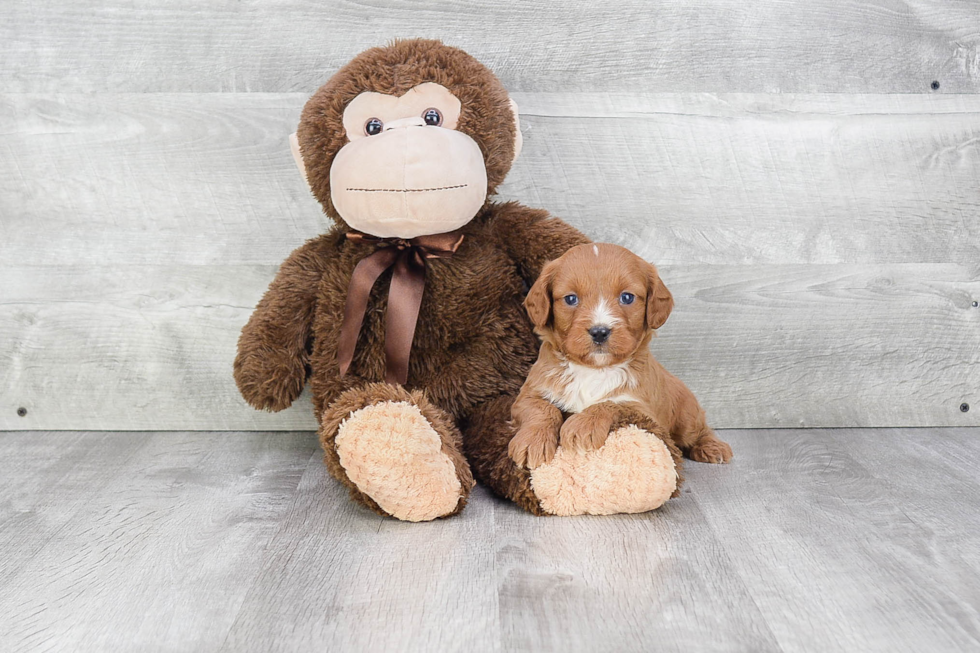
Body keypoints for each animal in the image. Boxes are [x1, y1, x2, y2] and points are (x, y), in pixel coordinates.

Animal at [510, 239, 732, 468]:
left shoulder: (644, 410)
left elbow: (612, 404)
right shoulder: (527, 395)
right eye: (571, 299)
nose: (599, 331)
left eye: (627, 297)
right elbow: (542, 408)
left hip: (687, 416)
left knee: (699, 430)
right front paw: (532, 441)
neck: (594, 369)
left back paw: (713, 447)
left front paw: (582, 425)